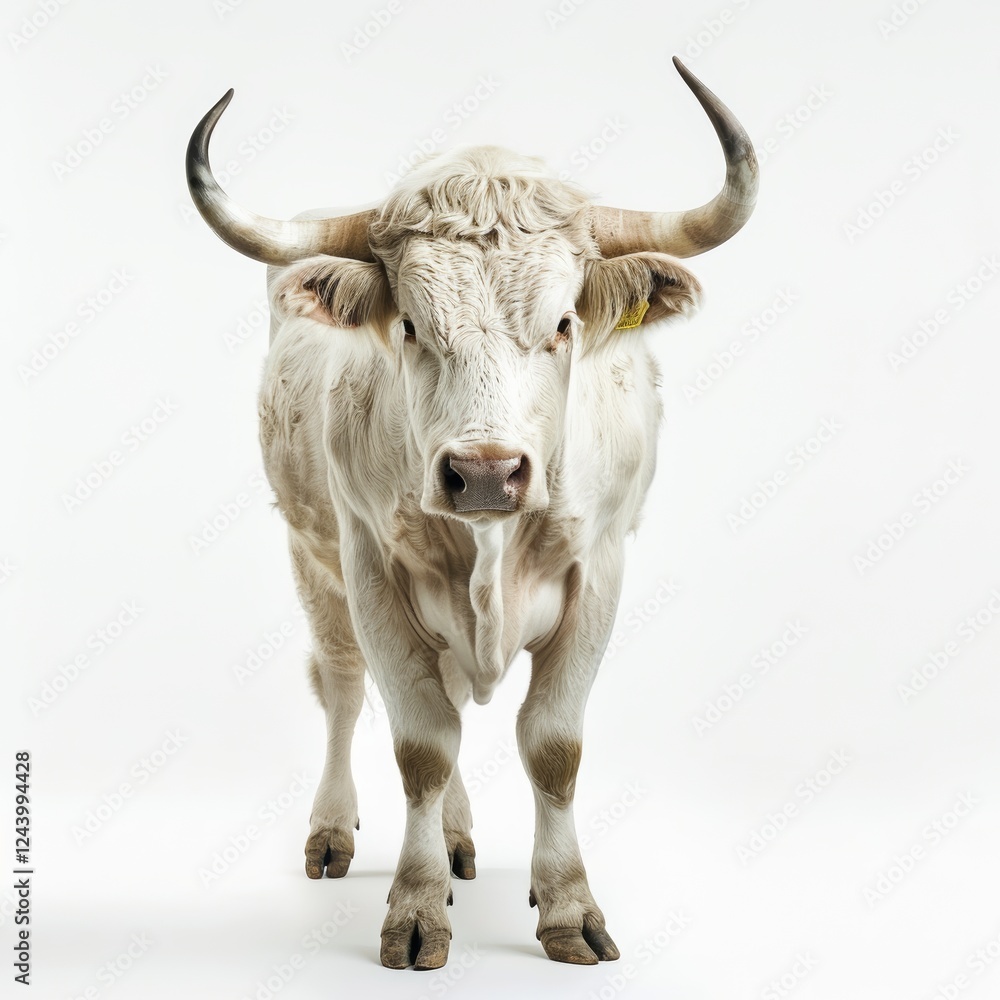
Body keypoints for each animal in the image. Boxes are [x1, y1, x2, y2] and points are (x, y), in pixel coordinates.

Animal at [186, 56, 757, 970]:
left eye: (563, 323)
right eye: (411, 327)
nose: (484, 474)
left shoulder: (600, 571)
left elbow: (551, 747)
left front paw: (566, 906)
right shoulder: (372, 570)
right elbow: (421, 743)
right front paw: (417, 908)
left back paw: (458, 840)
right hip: (313, 561)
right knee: (343, 687)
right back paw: (333, 832)